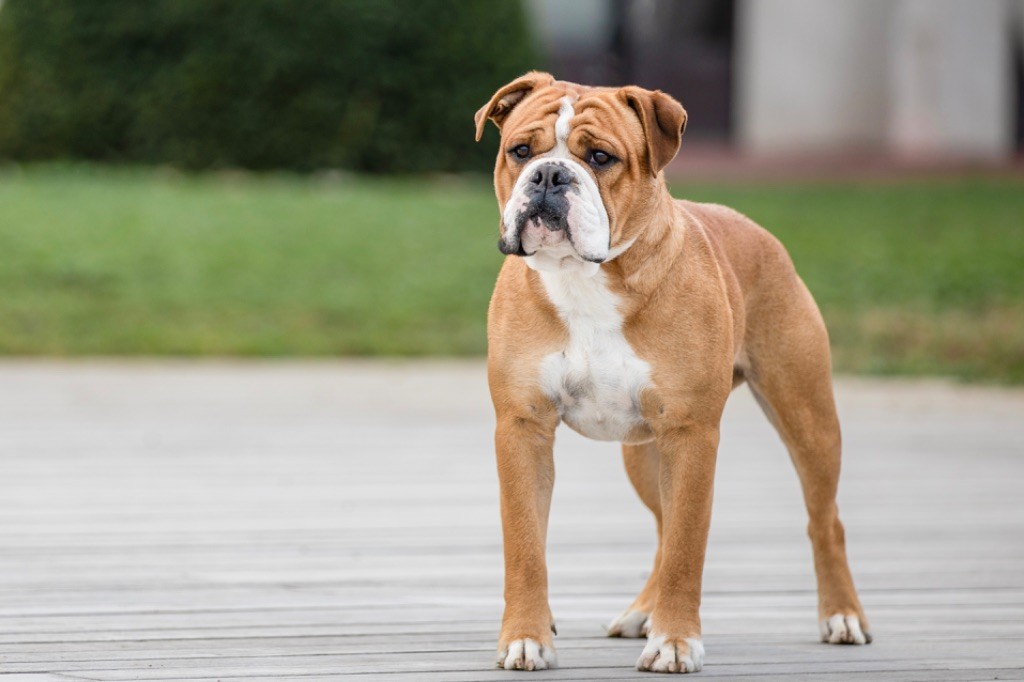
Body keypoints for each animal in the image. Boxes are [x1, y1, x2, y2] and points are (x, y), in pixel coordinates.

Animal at [475, 73, 868, 667]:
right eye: (520, 151)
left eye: (601, 157)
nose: (548, 175)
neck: (583, 280)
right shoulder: (523, 429)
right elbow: (525, 546)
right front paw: (526, 636)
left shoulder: (690, 434)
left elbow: (688, 547)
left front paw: (676, 642)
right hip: (643, 454)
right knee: (662, 527)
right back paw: (642, 612)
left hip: (807, 419)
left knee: (825, 519)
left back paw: (841, 615)